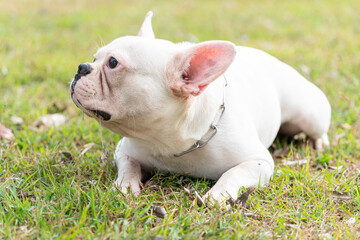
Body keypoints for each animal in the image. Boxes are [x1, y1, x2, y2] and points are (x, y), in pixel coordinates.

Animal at [71, 11, 332, 204]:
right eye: (94, 58)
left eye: (113, 63)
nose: (81, 67)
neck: (169, 139)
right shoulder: (124, 150)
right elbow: (129, 166)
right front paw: (125, 185)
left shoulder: (259, 162)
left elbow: (234, 173)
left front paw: (217, 195)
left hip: (310, 114)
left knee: (317, 128)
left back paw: (319, 142)